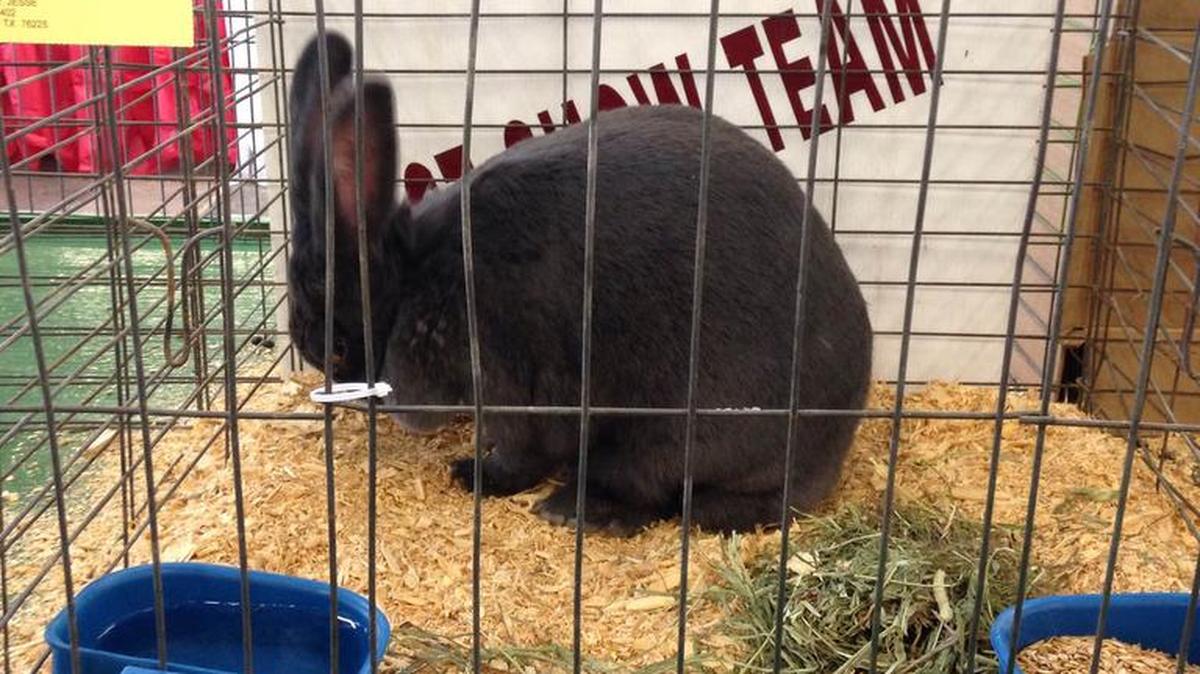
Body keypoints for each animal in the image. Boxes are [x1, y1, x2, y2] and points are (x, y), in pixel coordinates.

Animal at [286, 32, 873, 536]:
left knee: (665, 494)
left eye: (337, 348)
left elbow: (524, 452)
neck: (420, 270)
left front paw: (477, 476)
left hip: (673, 434)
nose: (337, 388)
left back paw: (575, 510)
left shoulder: (510, 385)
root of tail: (832, 444)